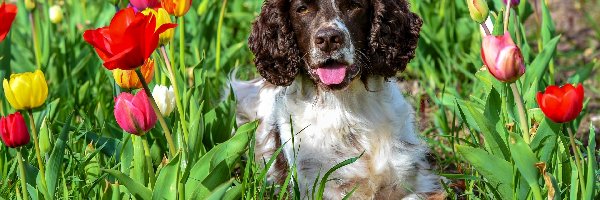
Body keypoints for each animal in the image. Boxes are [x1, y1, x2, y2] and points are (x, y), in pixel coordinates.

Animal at [232, 0, 442, 198]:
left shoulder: (415, 182)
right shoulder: (316, 187)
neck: (346, 108)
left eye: (354, 5)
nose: (328, 39)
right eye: (302, 9)